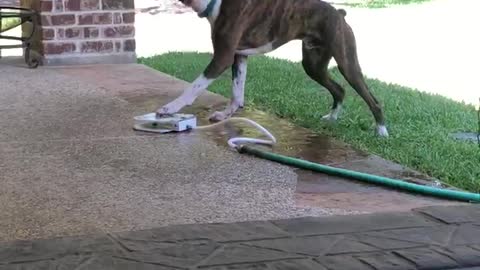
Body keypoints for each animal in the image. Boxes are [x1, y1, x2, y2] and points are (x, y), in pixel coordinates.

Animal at [156, 0, 388, 136]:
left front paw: (170, 108)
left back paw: (381, 131)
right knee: (339, 89)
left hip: (347, 63)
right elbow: (236, 93)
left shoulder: (223, 57)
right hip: (313, 65)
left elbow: (194, 87)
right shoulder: (239, 56)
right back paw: (332, 118)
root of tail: (339, 12)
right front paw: (226, 115)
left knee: (372, 99)